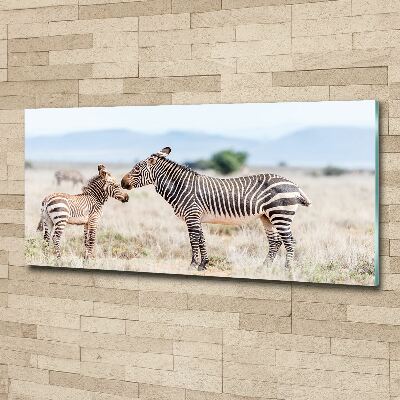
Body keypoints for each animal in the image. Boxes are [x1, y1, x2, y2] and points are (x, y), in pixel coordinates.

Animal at [120, 148, 310, 272]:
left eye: (136, 169)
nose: (122, 182)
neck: (181, 187)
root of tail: (294, 184)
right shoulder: (197, 217)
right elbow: (202, 240)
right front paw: (204, 264)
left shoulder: (192, 215)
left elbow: (193, 241)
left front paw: (192, 265)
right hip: (267, 217)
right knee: (275, 242)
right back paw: (263, 268)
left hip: (280, 214)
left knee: (289, 241)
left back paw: (287, 269)